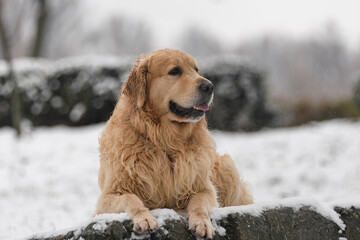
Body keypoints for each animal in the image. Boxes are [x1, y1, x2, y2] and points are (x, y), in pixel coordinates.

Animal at [95, 48, 253, 238]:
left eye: (196, 70)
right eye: (174, 71)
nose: (209, 86)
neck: (166, 140)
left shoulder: (204, 188)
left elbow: (199, 201)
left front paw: (201, 222)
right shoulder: (107, 197)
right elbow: (130, 198)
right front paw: (144, 218)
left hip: (226, 165)